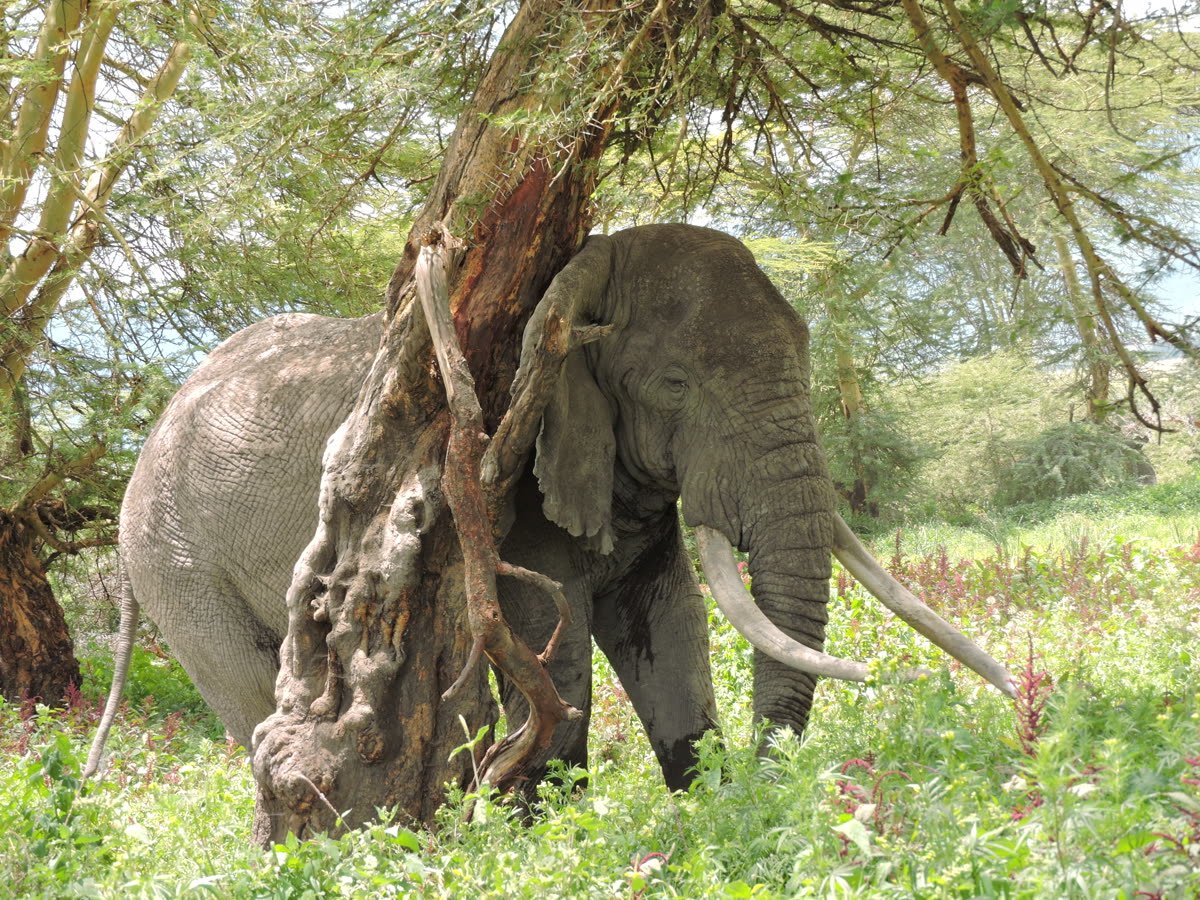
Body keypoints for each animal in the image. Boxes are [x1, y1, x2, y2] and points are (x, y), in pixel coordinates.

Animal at [86, 223, 1012, 789]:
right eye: (674, 385)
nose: (771, 784)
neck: (575, 280)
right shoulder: (505, 477)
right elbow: (555, 649)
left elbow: (671, 627)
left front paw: (713, 814)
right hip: (176, 562)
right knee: (248, 695)